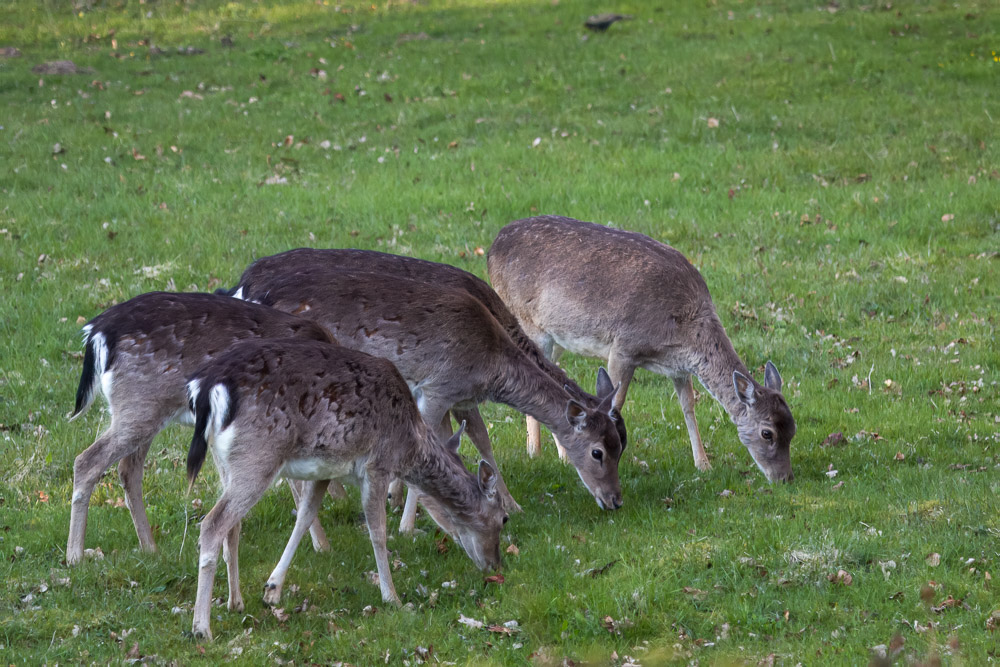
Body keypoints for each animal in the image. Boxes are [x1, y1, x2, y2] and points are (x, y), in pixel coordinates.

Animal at [67, 290, 340, 564]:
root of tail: (97, 332)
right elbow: (300, 488)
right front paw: (323, 546)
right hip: (138, 404)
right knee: (87, 460)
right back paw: (75, 555)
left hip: (144, 408)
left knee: (128, 469)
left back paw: (150, 548)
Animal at [186, 340, 508, 640]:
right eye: (504, 518)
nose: (495, 564)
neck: (408, 443)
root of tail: (206, 388)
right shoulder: (377, 466)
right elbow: (377, 532)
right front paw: (393, 598)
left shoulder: (325, 470)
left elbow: (304, 517)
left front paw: (272, 589)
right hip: (257, 456)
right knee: (212, 524)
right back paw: (202, 628)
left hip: (226, 462)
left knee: (233, 526)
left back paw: (236, 602)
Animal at [486, 217, 796, 482]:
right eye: (767, 433)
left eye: (793, 429)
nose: (784, 479)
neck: (683, 330)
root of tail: (491, 248)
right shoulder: (623, 347)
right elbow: (616, 403)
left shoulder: (678, 368)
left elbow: (688, 405)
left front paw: (703, 464)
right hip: (528, 322)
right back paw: (538, 453)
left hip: (557, 338)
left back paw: (558, 454)